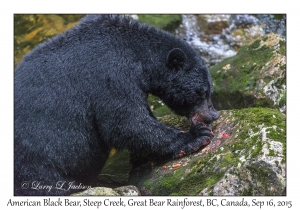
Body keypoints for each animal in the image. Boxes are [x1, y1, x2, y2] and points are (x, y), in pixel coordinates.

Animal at [14, 14, 219, 195]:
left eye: (210, 90)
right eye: (202, 92)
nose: (214, 114)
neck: (137, 52)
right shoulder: (113, 74)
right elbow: (127, 122)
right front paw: (196, 136)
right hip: (37, 154)